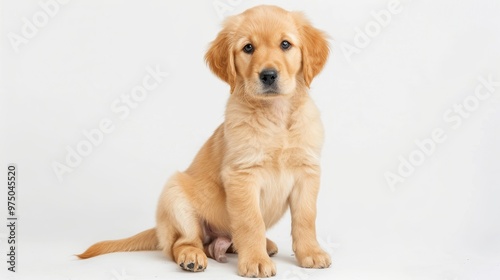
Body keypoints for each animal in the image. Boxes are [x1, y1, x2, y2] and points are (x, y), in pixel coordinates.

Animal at [78, 4, 330, 278]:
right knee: (182, 243)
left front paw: (311, 253)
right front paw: (255, 260)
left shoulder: (307, 172)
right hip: (175, 195)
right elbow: (250, 221)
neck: (276, 115)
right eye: (248, 48)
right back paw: (192, 256)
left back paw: (263, 244)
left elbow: (306, 218)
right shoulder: (242, 175)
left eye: (285, 44)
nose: (268, 75)